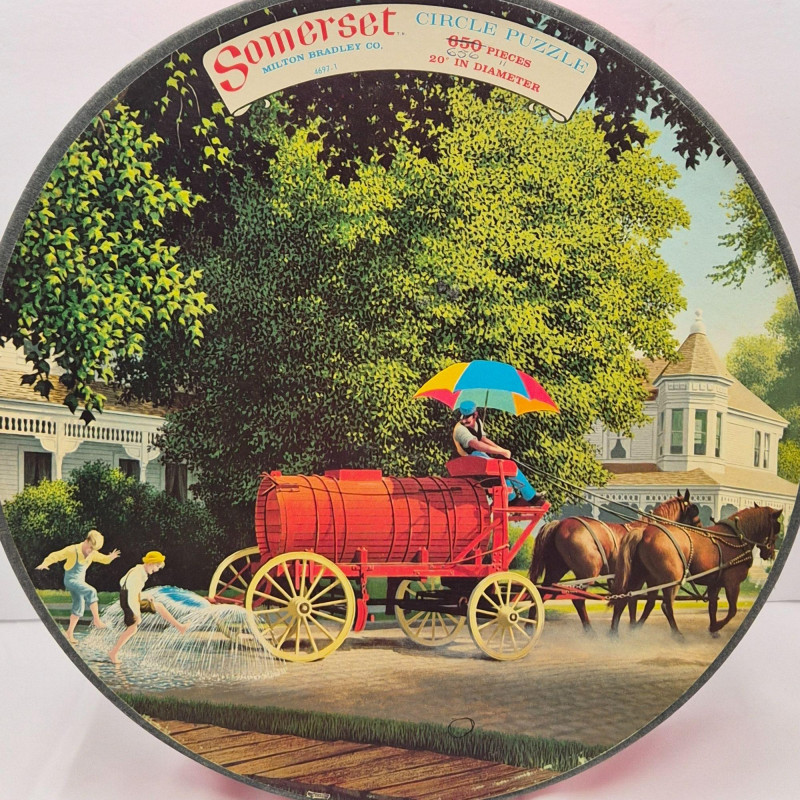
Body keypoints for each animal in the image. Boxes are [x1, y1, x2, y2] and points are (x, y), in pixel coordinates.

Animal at [528, 490, 701, 630]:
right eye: (694, 512)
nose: (700, 529)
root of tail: (559, 524)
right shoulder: (646, 577)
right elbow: (634, 602)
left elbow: (630, 601)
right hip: (587, 573)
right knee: (577, 599)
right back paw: (590, 632)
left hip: (557, 569)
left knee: (540, 593)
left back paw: (530, 626)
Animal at [610, 505, 781, 639]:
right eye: (777, 528)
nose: (770, 553)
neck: (736, 537)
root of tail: (644, 532)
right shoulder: (732, 584)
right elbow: (732, 610)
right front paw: (716, 626)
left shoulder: (715, 584)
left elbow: (713, 606)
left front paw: (713, 629)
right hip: (670, 579)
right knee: (665, 605)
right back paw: (676, 634)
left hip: (642, 576)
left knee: (628, 598)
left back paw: (619, 631)